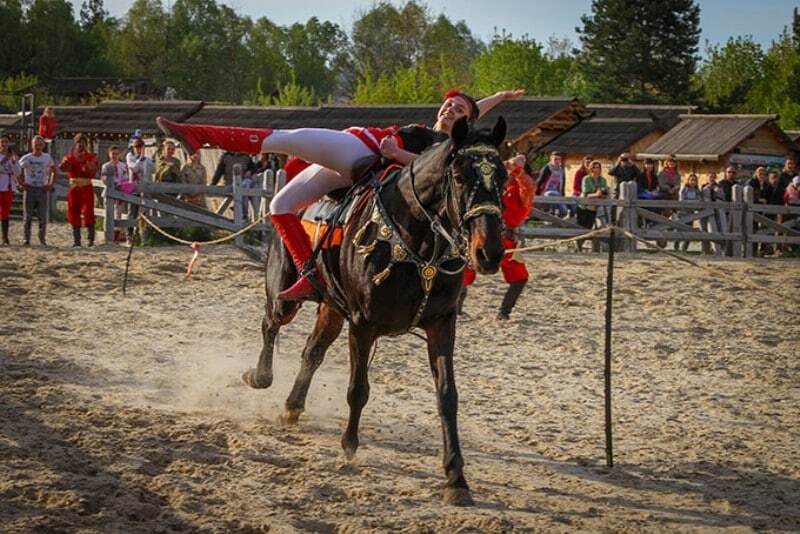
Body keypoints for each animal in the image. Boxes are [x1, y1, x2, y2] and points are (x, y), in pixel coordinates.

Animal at [241, 117, 510, 506]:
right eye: (459, 177)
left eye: (503, 178)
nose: (489, 253)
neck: (417, 241)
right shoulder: (363, 324)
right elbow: (358, 388)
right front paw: (350, 444)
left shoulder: (441, 324)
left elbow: (447, 397)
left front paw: (456, 477)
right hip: (284, 296)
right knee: (270, 324)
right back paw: (259, 376)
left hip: (331, 309)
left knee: (312, 351)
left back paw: (293, 404)